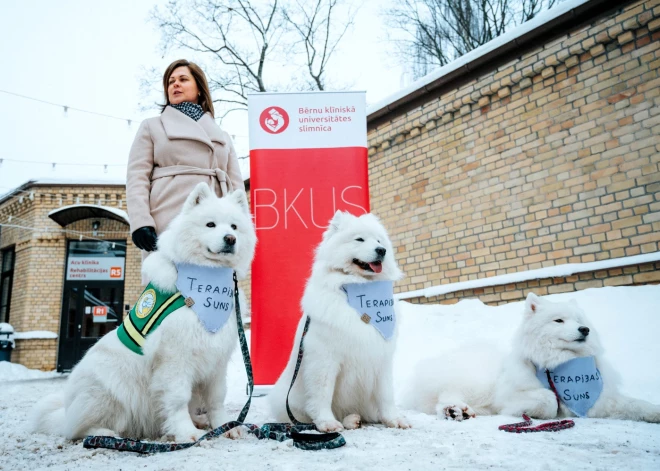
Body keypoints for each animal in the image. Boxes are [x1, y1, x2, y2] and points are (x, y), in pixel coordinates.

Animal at [32, 184, 256, 442]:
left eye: (234, 227)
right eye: (210, 224)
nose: (230, 239)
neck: (207, 281)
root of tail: (66, 411)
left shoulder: (216, 359)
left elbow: (216, 399)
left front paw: (225, 426)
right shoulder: (175, 358)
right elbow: (178, 399)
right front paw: (187, 433)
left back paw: (199, 421)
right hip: (108, 387)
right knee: (77, 429)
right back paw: (105, 433)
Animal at [270, 212, 412, 434]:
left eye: (379, 241)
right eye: (359, 239)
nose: (382, 251)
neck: (359, 290)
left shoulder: (381, 358)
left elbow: (386, 395)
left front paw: (394, 419)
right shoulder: (324, 359)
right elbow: (322, 394)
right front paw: (326, 422)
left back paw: (353, 419)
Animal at [404, 294, 660, 422]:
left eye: (579, 321)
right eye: (559, 320)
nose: (585, 329)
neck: (559, 364)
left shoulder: (600, 400)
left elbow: (635, 404)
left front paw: (654, 412)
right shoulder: (507, 396)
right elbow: (548, 399)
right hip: (475, 380)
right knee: (447, 394)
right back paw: (455, 409)